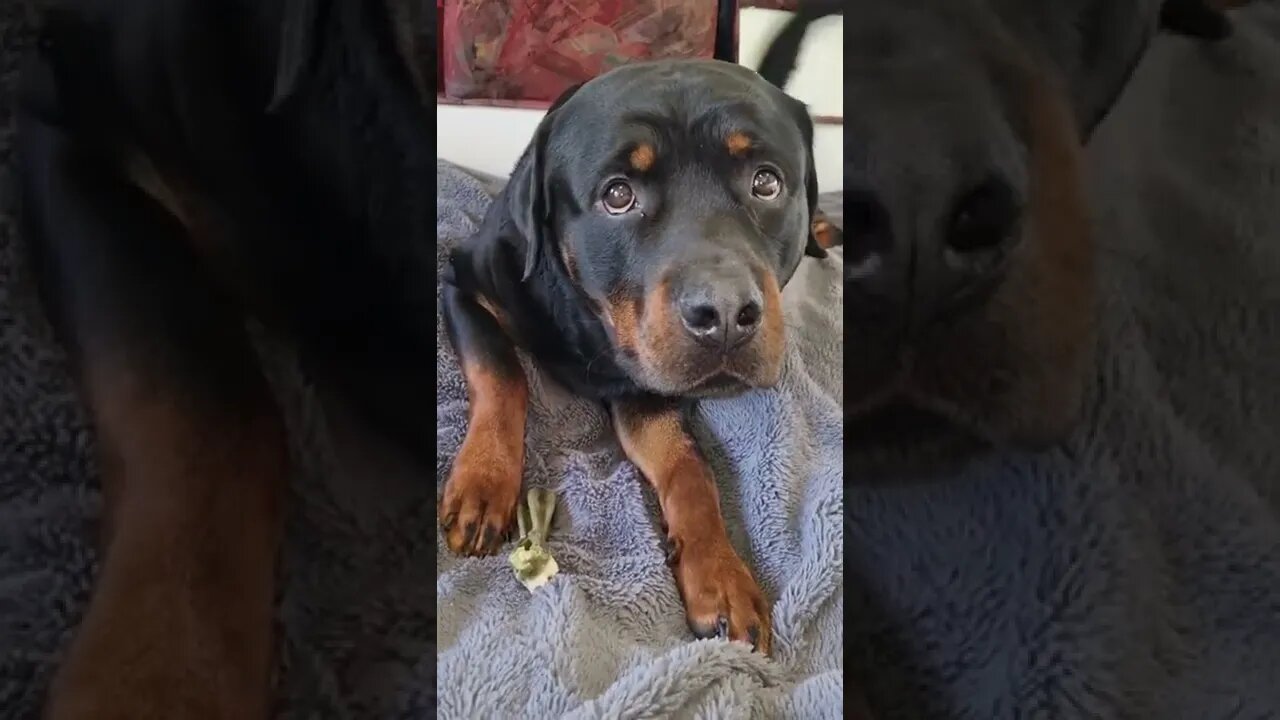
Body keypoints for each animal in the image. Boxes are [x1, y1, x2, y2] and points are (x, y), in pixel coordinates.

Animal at [435, 60, 824, 655]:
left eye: (766, 182)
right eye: (617, 195)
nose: (725, 312)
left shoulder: (646, 385)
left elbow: (688, 466)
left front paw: (720, 575)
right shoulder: (463, 285)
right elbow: (501, 373)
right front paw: (484, 481)